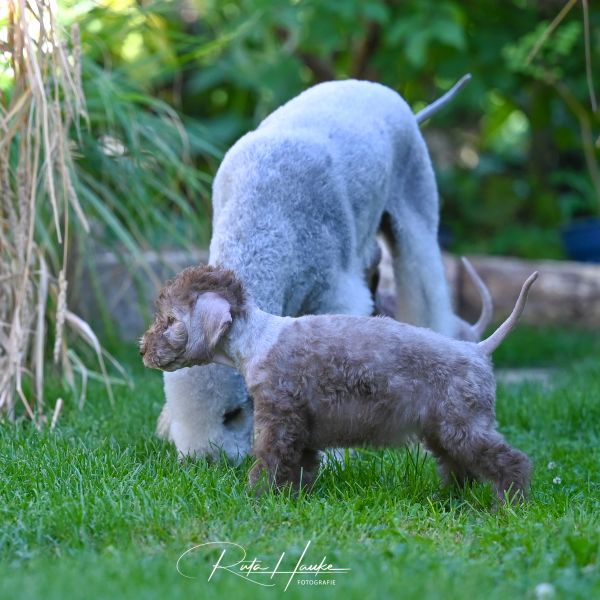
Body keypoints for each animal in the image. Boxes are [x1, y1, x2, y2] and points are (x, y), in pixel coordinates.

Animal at [142, 264, 540, 504]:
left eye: (170, 321)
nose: (142, 348)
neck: (257, 338)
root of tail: (477, 348)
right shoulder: (301, 426)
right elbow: (300, 465)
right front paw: (293, 498)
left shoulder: (279, 416)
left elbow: (271, 459)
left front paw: (257, 498)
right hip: (442, 427)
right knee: (459, 465)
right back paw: (449, 499)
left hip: (462, 422)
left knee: (510, 461)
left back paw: (508, 503)